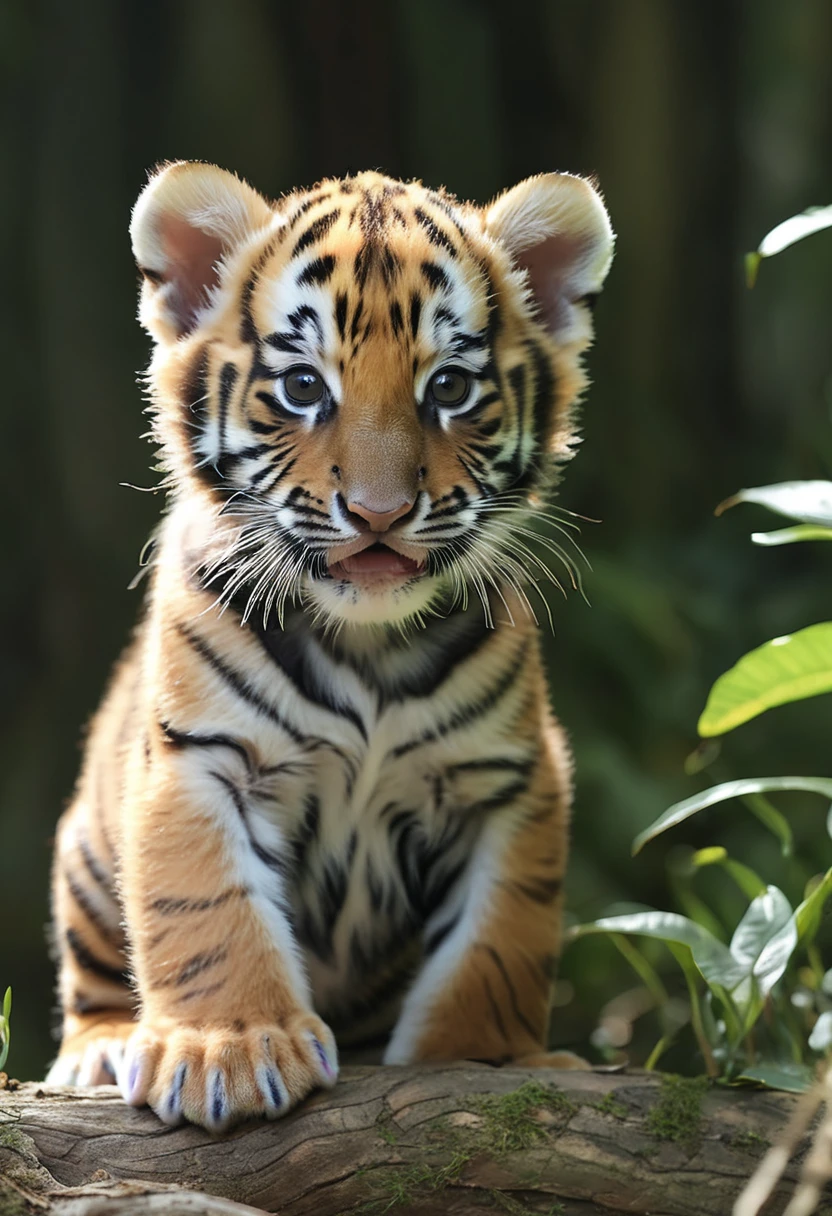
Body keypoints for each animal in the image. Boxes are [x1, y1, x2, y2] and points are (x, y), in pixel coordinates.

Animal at [45, 160, 614, 1131]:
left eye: (450, 389)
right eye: (305, 387)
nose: (380, 514)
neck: (366, 644)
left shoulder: (507, 782)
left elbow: (498, 945)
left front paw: (490, 1061)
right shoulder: (202, 756)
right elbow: (205, 907)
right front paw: (228, 1050)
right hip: (84, 845)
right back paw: (105, 1048)